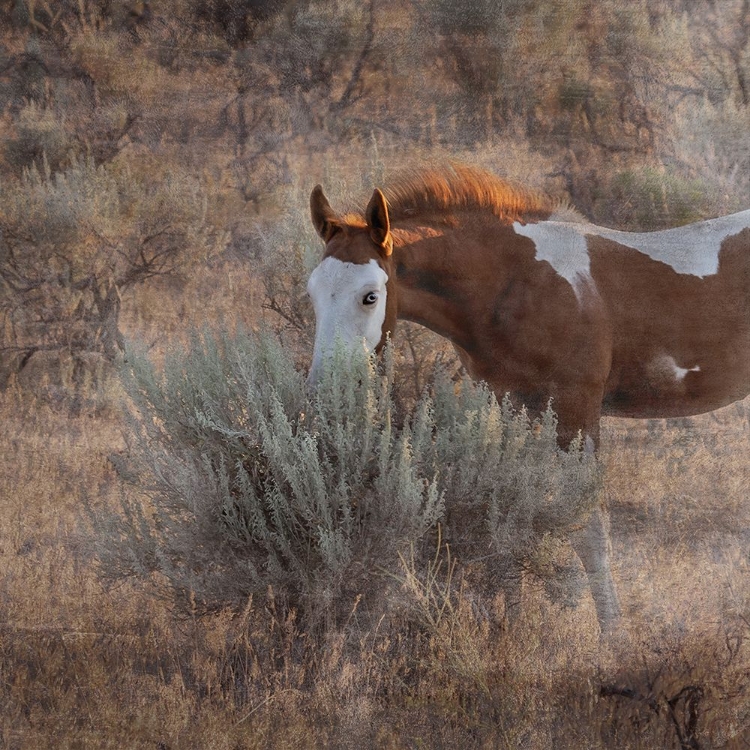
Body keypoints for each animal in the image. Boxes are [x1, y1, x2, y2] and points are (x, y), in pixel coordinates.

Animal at [306, 164, 750, 636]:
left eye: (370, 295)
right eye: (311, 293)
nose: (326, 390)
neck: (515, 284)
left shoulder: (576, 411)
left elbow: (589, 528)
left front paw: (613, 637)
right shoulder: (512, 407)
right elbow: (508, 507)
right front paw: (508, 616)